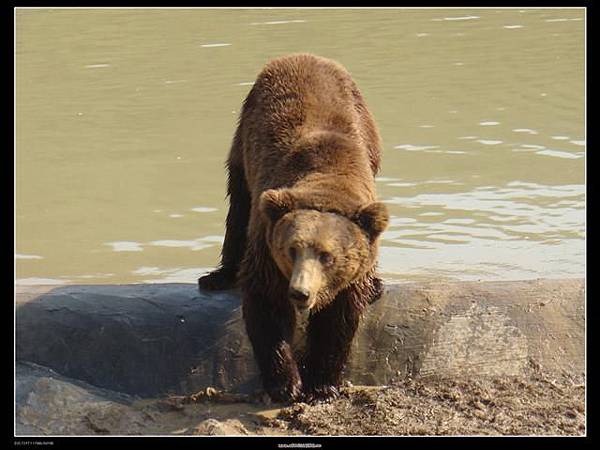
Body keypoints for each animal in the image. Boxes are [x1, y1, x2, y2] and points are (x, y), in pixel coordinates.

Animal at [199, 53, 390, 404]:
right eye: (291, 249)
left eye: (327, 256)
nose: (300, 292)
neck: (328, 178)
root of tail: (304, 55)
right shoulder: (267, 242)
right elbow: (267, 302)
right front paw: (286, 384)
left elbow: (339, 317)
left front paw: (321, 384)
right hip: (243, 136)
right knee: (238, 205)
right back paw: (218, 276)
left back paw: (377, 286)